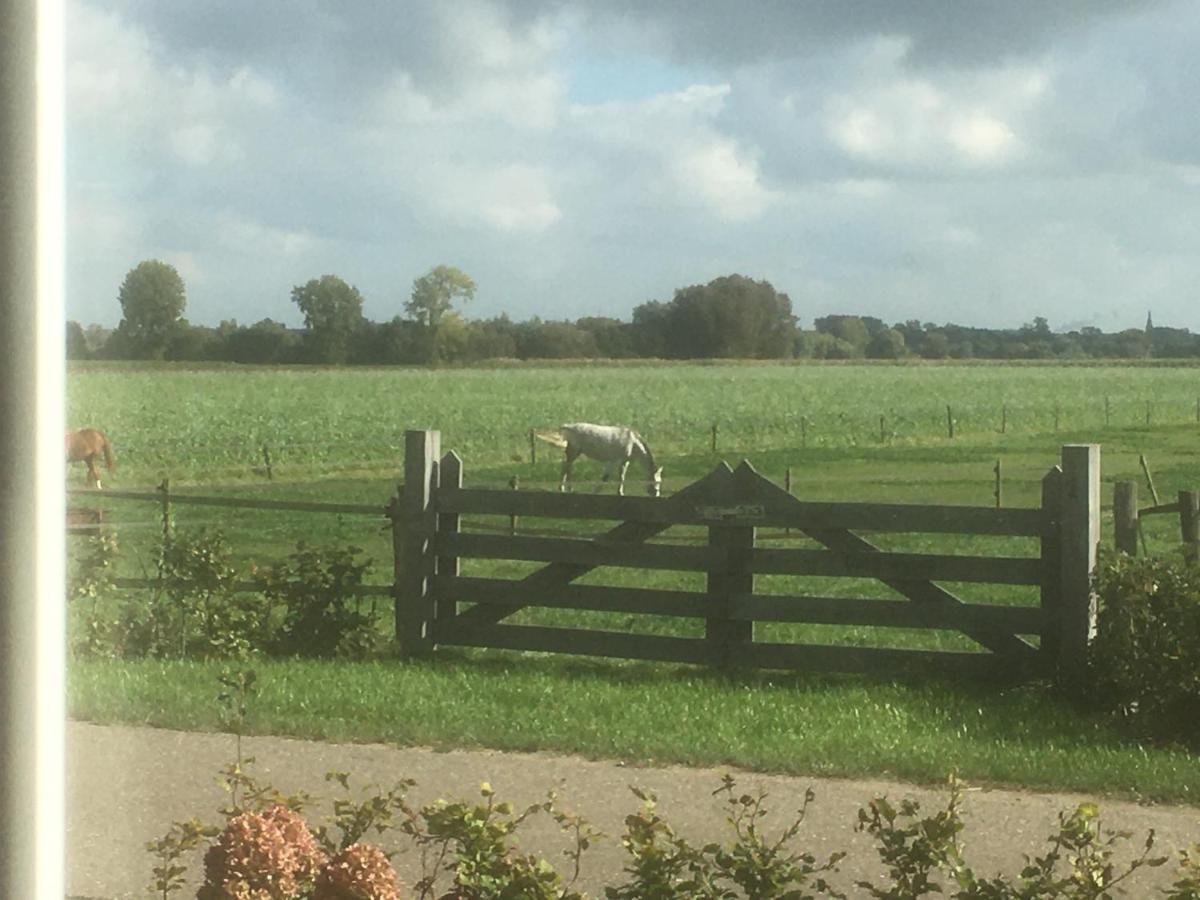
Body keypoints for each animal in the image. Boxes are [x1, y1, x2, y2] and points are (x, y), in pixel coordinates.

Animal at [537, 424, 667, 501]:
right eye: (656, 481)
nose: (656, 495)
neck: (632, 442)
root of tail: (566, 427)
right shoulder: (613, 461)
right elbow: (605, 477)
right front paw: (595, 492)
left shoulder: (624, 462)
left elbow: (621, 477)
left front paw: (620, 493)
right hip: (573, 452)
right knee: (567, 467)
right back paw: (566, 488)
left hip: (574, 453)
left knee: (566, 467)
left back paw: (565, 489)